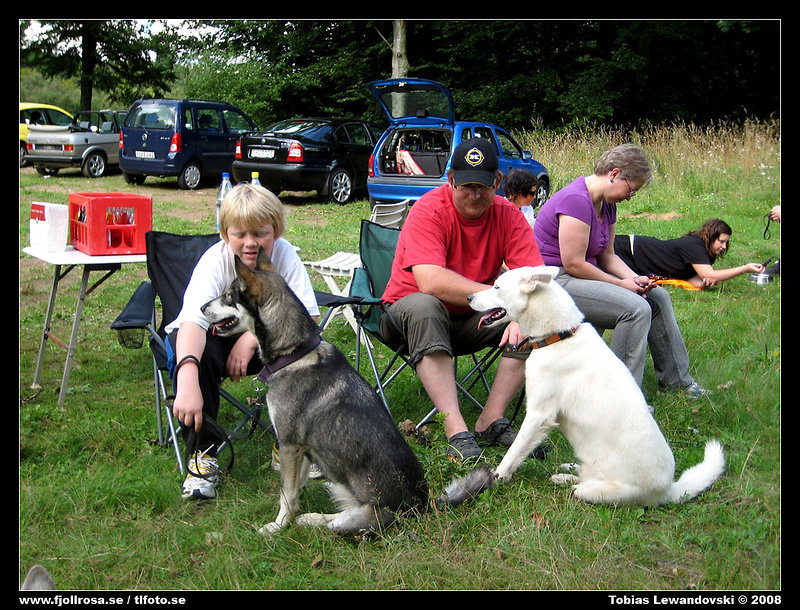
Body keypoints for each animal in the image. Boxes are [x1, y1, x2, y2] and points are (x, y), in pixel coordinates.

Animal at [201, 248, 493, 536]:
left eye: (229, 296)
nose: (202, 307)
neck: (294, 353)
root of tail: (423, 503)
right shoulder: (300, 449)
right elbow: (295, 488)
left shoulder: (289, 444)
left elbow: (287, 495)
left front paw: (277, 526)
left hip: (359, 517)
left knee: (335, 523)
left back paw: (310, 520)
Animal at [468, 266, 725, 506]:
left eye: (497, 287)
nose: (468, 298)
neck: (559, 336)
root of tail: (669, 489)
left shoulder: (539, 415)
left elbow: (514, 452)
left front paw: (496, 476)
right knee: (583, 474)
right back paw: (566, 472)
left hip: (600, 491)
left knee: (583, 487)